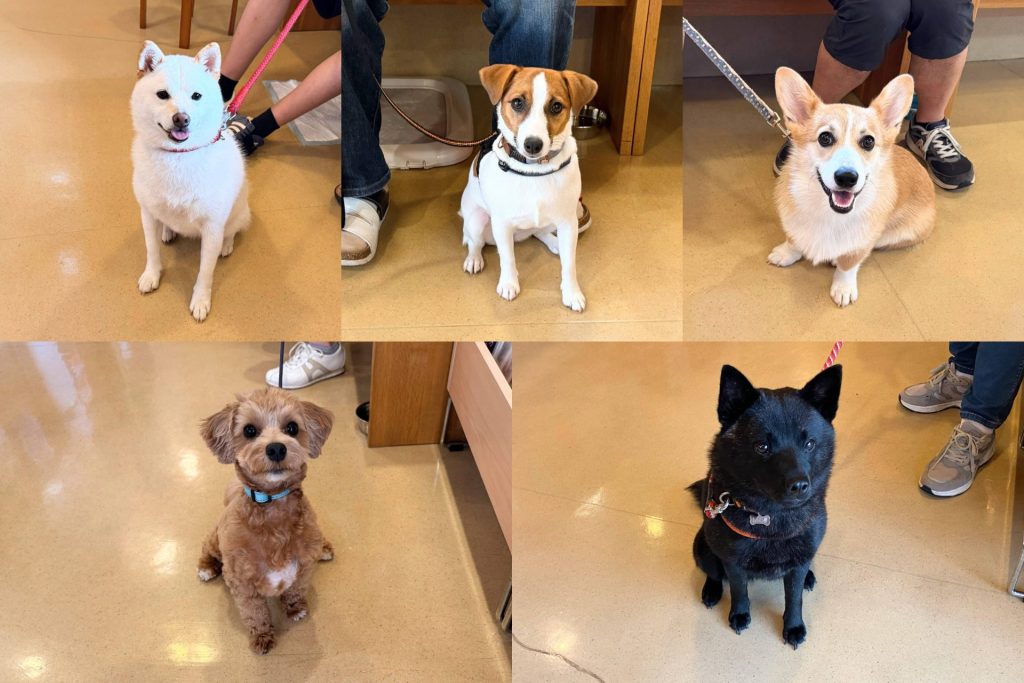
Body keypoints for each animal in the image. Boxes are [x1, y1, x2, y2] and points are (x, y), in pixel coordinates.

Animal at [131, 40, 250, 322]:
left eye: (197, 96)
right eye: (162, 94)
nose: (182, 119)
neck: (177, 157)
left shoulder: (212, 228)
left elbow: (205, 272)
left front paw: (200, 300)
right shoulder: (147, 214)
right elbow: (151, 250)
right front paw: (151, 275)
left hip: (238, 213)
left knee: (233, 230)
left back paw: (226, 245)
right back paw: (168, 231)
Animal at [197, 388, 335, 654]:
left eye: (292, 427)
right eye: (249, 430)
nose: (276, 449)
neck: (272, 510)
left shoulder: (303, 568)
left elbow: (295, 590)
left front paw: (295, 608)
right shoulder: (241, 582)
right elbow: (255, 612)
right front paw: (261, 636)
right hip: (215, 537)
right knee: (206, 548)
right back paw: (206, 568)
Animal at [460, 65, 598, 312]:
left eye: (556, 106)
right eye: (517, 102)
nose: (533, 144)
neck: (534, 170)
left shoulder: (568, 222)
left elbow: (570, 264)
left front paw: (572, 292)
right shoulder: (502, 223)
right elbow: (507, 258)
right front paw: (509, 284)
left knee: (540, 232)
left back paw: (554, 243)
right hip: (477, 219)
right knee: (475, 242)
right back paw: (474, 259)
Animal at [688, 363, 842, 649]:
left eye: (809, 443)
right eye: (762, 446)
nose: (799, 485)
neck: (770, 518)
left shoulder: (797, 563)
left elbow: (794, 598)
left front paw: (793, 626)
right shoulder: (733, 563)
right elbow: (739, 590)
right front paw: (739, 614)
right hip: (703, 547)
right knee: (713, 572)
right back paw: (712, 590)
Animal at [770, 67, 935, 307]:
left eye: (868, 141)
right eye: (825, 138)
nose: (847, 178)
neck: (828, 212)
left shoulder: (861, 241)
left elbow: (849, 263)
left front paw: (843, 287)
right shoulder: (794, 222)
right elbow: (793, 239)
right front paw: (786, 253)